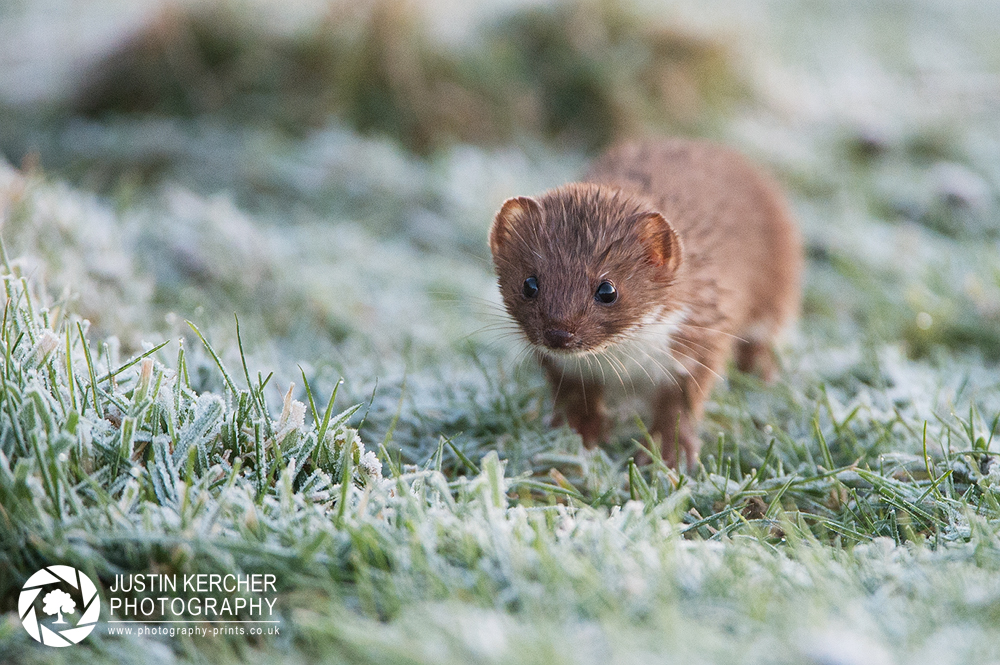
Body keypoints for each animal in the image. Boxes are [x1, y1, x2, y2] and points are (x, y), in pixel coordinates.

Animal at [488, 137, 800, 466]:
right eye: (529, 284)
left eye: (607, 290)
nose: (558, 333)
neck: (625, 365)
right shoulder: (566, 370)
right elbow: (576, 401)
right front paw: (578, 438)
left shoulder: (697, 343)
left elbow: (679, 408)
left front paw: (668, 453)